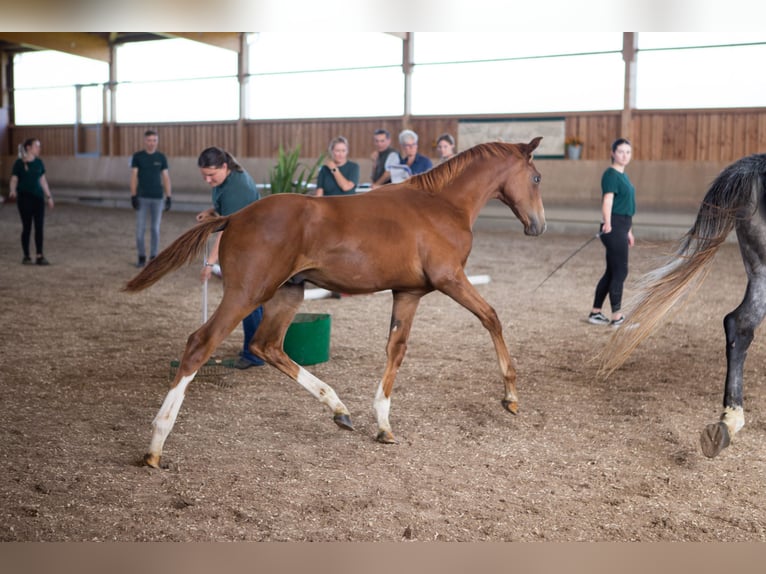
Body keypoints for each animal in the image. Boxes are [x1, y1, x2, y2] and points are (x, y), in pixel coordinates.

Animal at [125, 138, 546, 468]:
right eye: (537, 178)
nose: (538, 226)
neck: (442, 204)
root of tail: (236, 215)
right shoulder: (451, 279)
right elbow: (492, 318)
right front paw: (510, 396)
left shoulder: (408, 293)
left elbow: (396, 349)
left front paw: (384, 426)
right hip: (248, 293)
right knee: (201, 343)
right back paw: (156, 444)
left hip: (287, 293)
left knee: (266, 345)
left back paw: (339, 410)